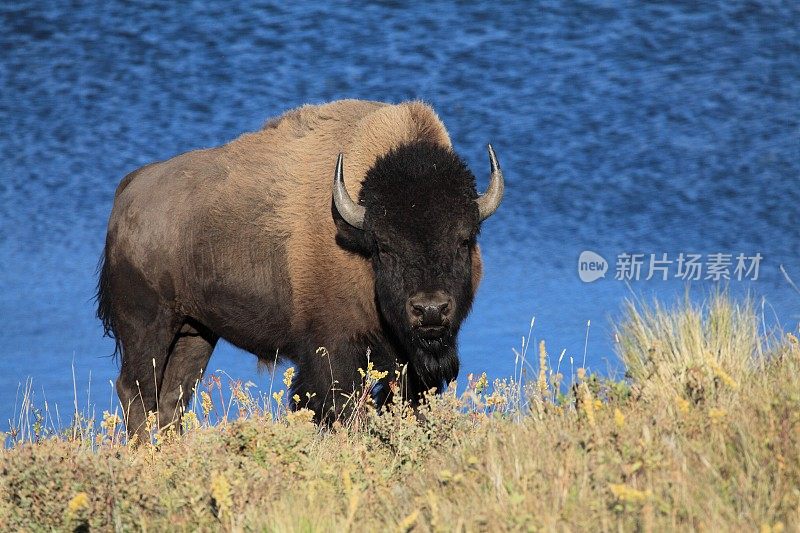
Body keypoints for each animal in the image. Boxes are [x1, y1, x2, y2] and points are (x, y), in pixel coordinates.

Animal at [97, 97, 504, 438]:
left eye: (464, 239)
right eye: (384, 247)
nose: (430, 310)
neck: (356, 236)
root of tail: (129, 191)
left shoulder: (411, 367)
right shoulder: (332, 352)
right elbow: (337, 406)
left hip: (194, 332)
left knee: (173, 396)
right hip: (148, 327)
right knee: (136, 391)